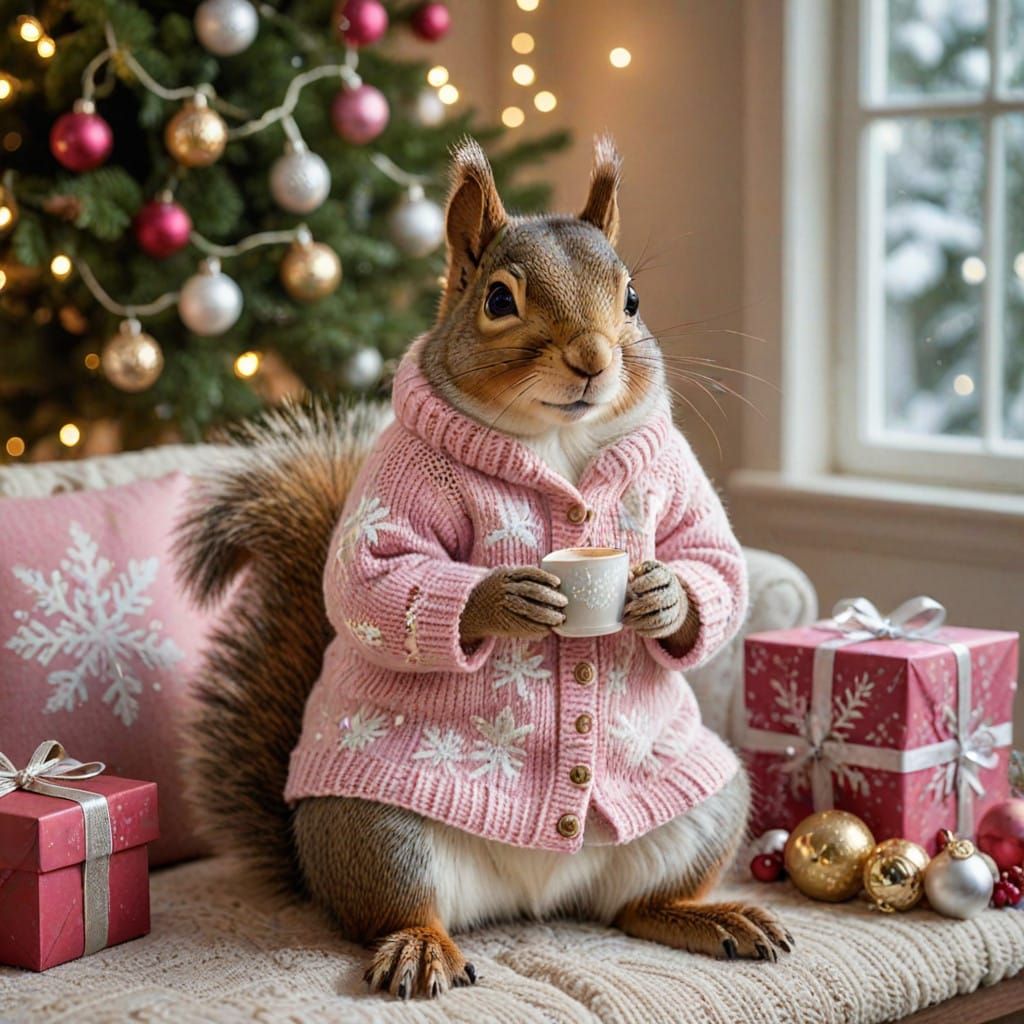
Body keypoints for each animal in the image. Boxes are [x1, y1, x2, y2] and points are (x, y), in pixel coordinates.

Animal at [176, 135, 790, 1002]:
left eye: (633, 299)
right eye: (500, 300)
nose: (592, 359)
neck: (556, 440)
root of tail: (532, 898)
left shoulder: (677, 475)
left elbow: (714, 559)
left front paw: (666, 598)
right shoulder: (400, 484)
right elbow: (373, 578)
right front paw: (500, 600)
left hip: (705, 804)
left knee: (636, 906)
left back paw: (708, 916)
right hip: (378, 829)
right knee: (396, 908)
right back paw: (420, 947)